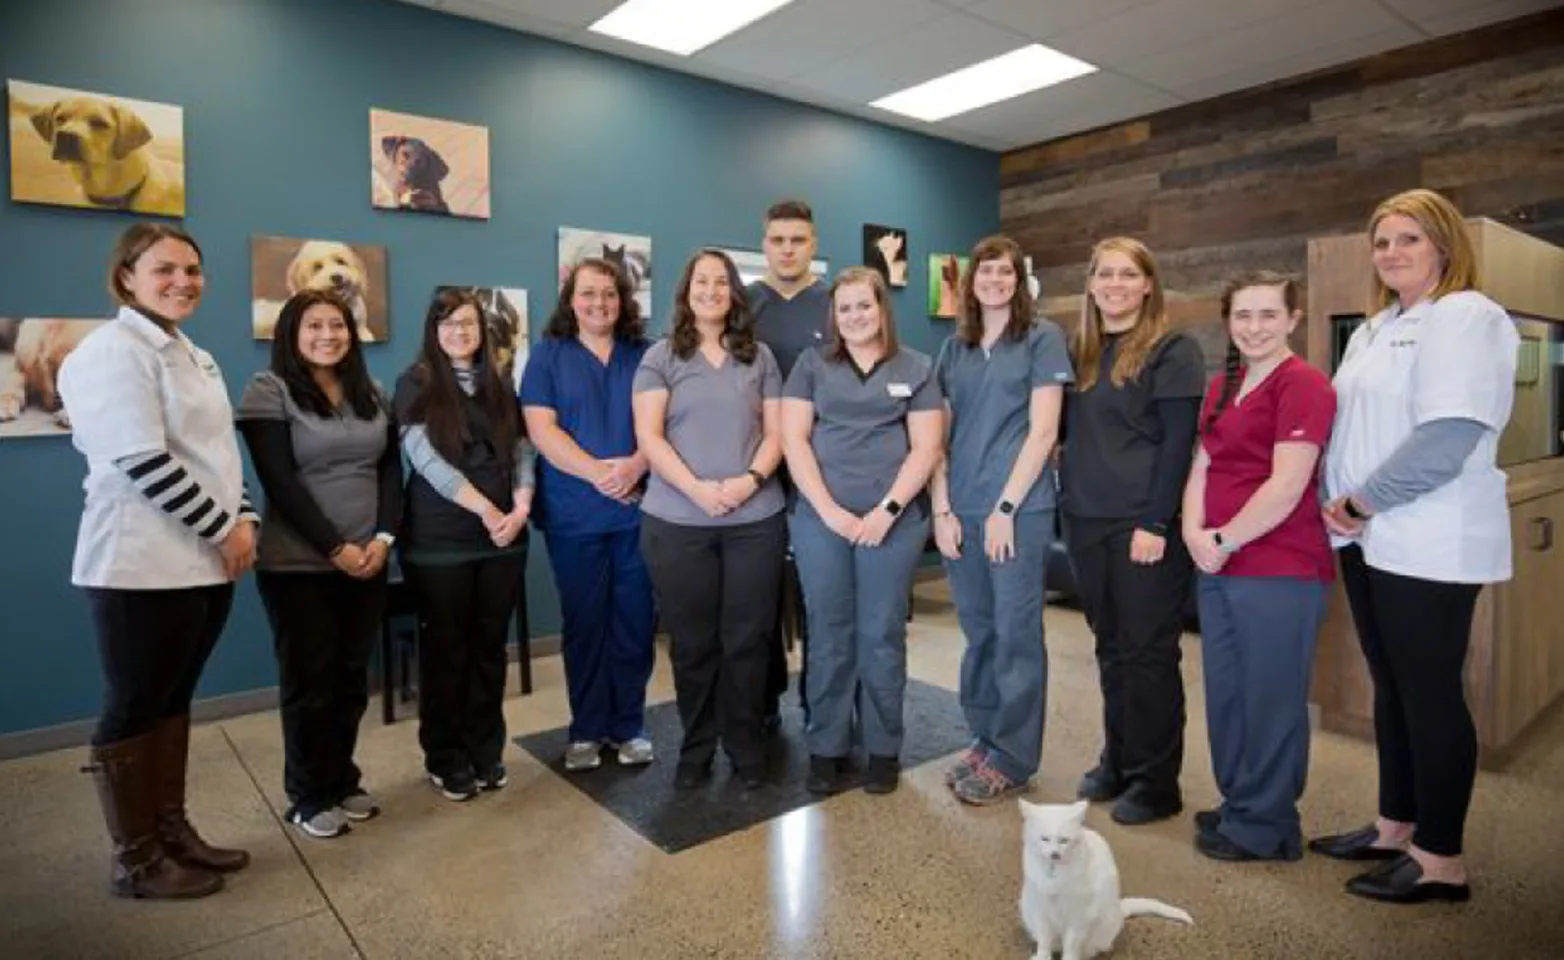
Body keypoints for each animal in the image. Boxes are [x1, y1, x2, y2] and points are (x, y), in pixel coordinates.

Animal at [1019, 797, 1188, 960]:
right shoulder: (1041, 911)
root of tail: (1118, 909)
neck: (1054, 873)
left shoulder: (1079, 916)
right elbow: (1044, 940)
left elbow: (1071, 945)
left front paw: (1069, 957)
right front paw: (1042, 956)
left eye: (1064, 840)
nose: (1055, 854)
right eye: (1044, 839)